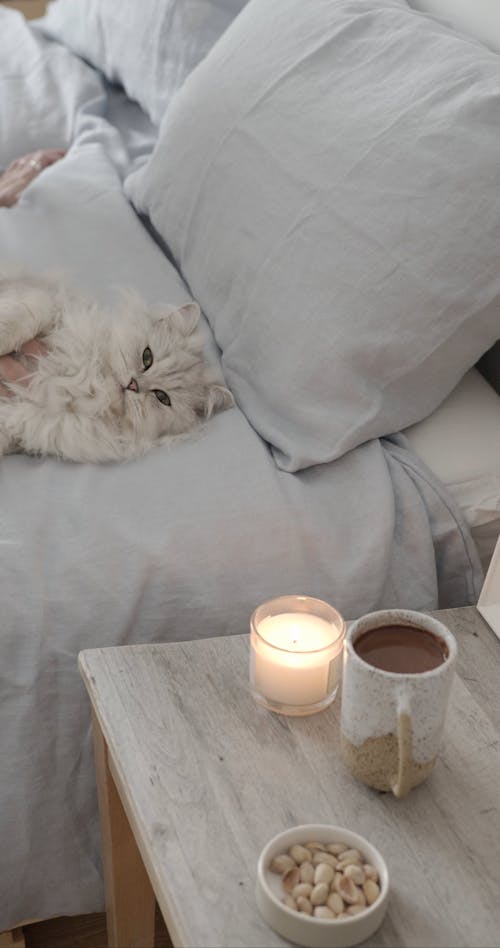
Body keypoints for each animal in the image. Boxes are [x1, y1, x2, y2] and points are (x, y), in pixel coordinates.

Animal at [0, 272, 232, 464]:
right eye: (147, 358)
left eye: (162, 397)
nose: (133, 385)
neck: (89, 379)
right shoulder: (48, 300)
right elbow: (31, 313)